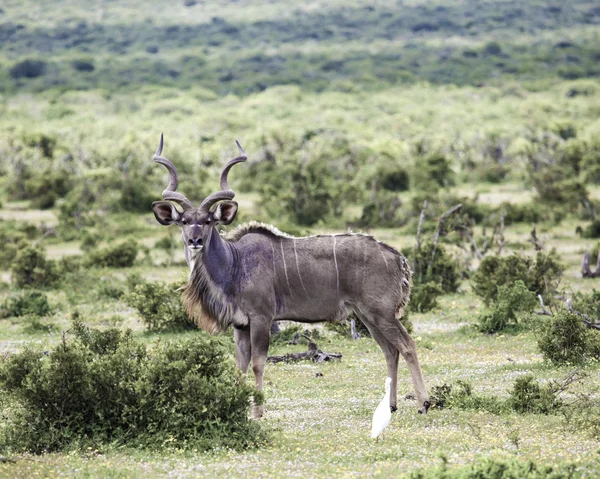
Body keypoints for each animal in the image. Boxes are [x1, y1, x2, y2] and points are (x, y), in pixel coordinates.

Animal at [152, 135, 428, 416]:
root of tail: (398, 258)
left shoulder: (262, 318)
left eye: (208, 221)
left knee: (407, 345)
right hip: (367, 316)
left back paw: (423, 404)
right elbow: (239, 367)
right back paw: (391, 407)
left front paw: (257, 412)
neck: (235, 263)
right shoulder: (241, 325)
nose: (194, 241)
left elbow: (257, 363)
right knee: (390, 350)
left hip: (381, 313)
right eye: (184, 221)